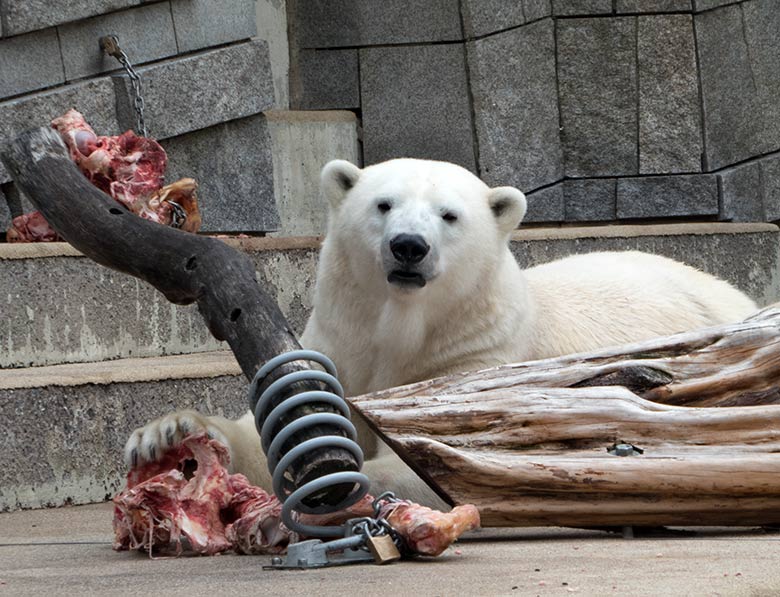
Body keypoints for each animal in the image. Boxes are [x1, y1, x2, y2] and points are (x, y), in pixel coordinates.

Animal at [126, 157, 756, 502]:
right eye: (383, 204)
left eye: (450, 216)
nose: (410, 245)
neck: (403, 328)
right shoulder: (341, 345)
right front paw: (170, 435)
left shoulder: (472, 363)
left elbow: (429, 457)